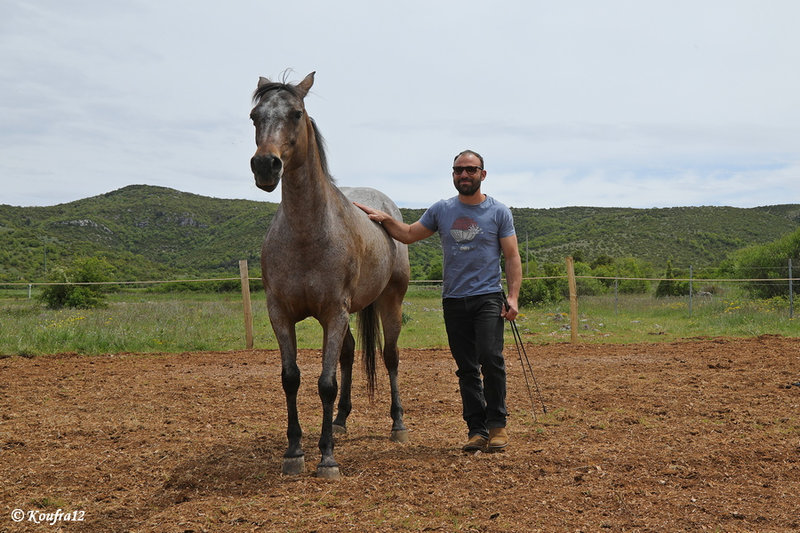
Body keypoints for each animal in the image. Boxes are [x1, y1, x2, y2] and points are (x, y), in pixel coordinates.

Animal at [250, 71, 412, 478]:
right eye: (255, 116)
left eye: (296, 113)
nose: (265, 166)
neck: (307, 233)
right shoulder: (281, 314)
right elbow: (291, 379)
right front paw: (294, 451)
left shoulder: (333, 314)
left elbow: (326, 383)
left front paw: (326, 458)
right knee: (350, 354)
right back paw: (339, 421)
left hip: (390, 301)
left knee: (390, 356)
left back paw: (397, 424)